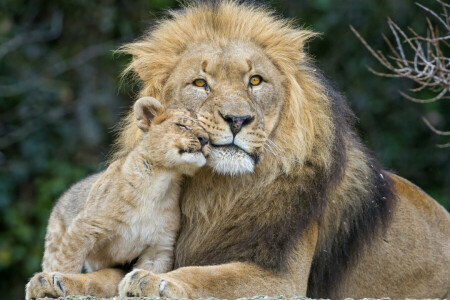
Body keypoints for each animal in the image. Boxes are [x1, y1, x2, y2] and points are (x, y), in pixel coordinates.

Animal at [26, 1, 448, 298]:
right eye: (200, 82)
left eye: (255, 80)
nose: (237, 120)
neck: (220, 191)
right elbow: (102, 274)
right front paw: (54, 280)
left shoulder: (281, 279)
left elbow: (212, 276)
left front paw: (155, 282)